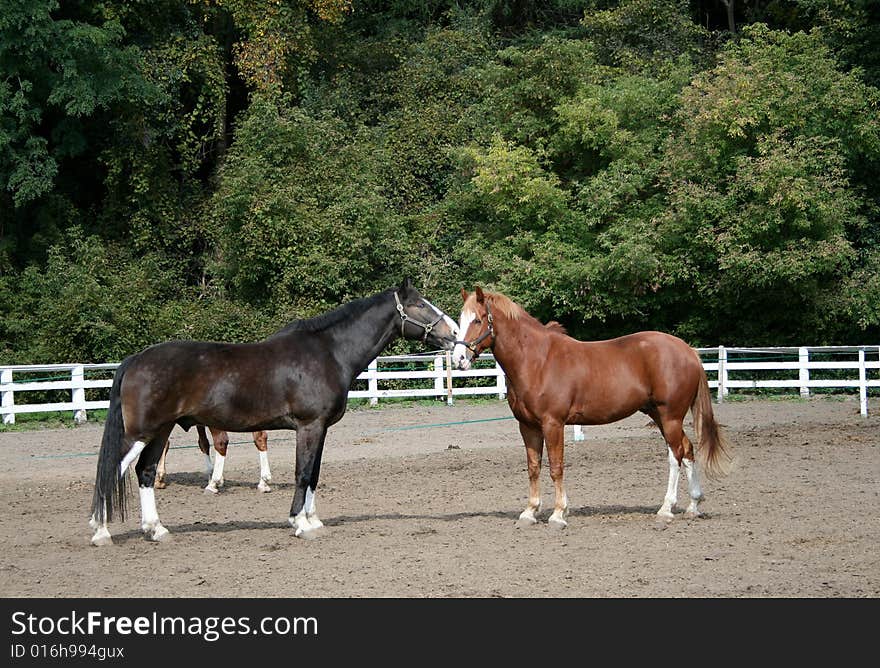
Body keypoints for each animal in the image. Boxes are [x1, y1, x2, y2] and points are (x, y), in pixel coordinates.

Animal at [454, 288, 728, 528]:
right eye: (459, 321)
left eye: (477, 320)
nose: (458, 359)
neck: (537, 361)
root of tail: (688, 351)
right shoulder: (528, 426)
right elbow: (533, 467)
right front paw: (530, 512)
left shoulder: (553, 424)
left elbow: (556, 467)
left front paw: (558, 514)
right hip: (660, 416)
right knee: (688, 450)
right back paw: (693, 506)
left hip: (670, 416)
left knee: (675, 455)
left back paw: (666, 509)